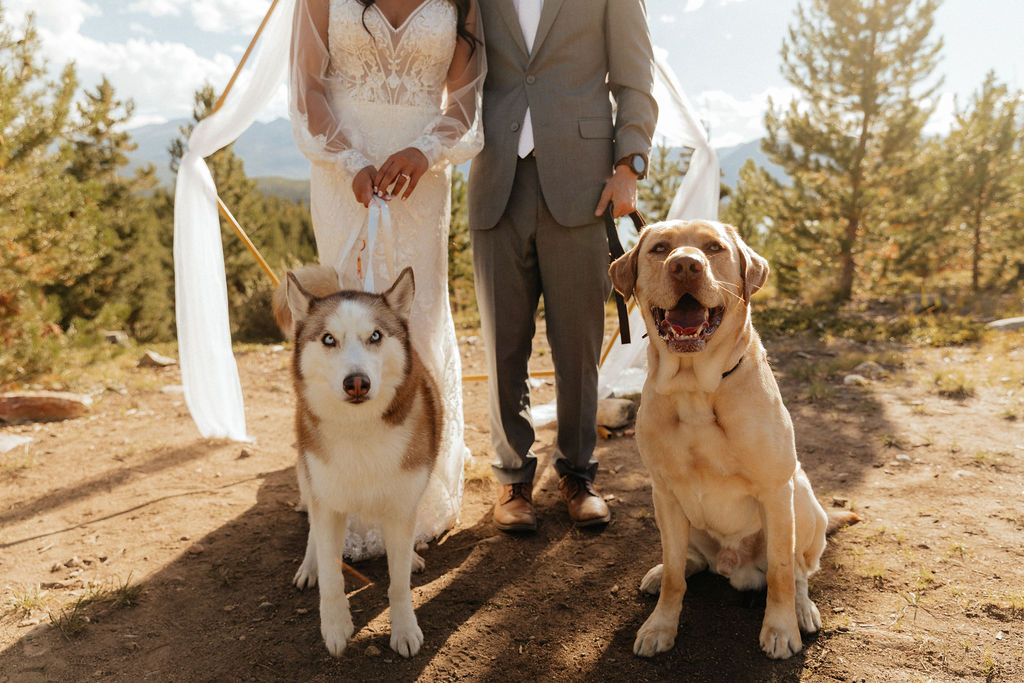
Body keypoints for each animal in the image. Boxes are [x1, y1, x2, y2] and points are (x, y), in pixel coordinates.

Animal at [276, 266, 440, 655]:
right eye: (328, 339)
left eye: (375, 336)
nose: (357, 383)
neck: (359, 432)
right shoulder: (328, 504)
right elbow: (331, 576)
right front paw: (335, 627)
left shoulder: (401, 503)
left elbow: (398, 582)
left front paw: (404, 629)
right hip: (308, 477)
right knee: (313, 530)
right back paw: (309, 566)